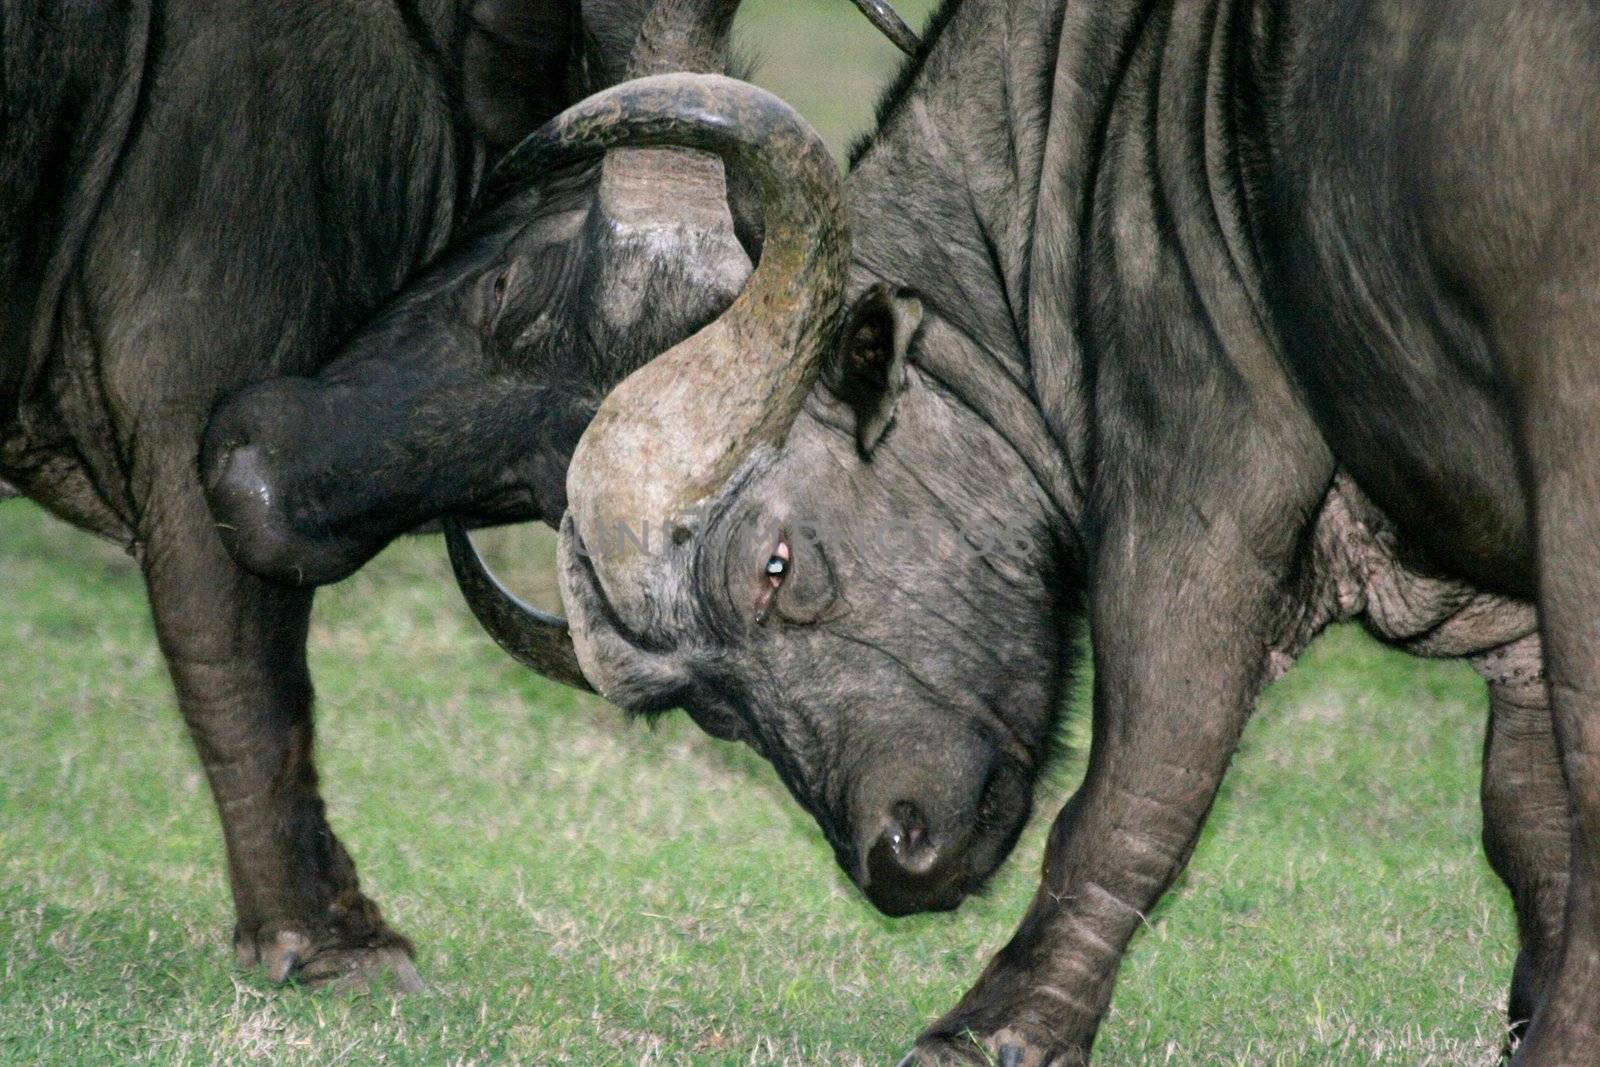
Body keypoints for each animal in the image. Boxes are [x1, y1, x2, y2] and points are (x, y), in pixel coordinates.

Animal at [0, 0, 921, 991]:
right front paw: (331, 940)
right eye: (511, 286)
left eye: (545, 482)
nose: (258, 500)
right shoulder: (188, 397)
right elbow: (244, 660)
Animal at [425, 2, 1600, 1067]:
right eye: (708, 707)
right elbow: (1528, 823)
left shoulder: (1199, 492)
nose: (896, 851)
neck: (1122, 99)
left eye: (778, 563)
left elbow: (1139, 786)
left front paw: (992, 1028)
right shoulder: (1514, 632)